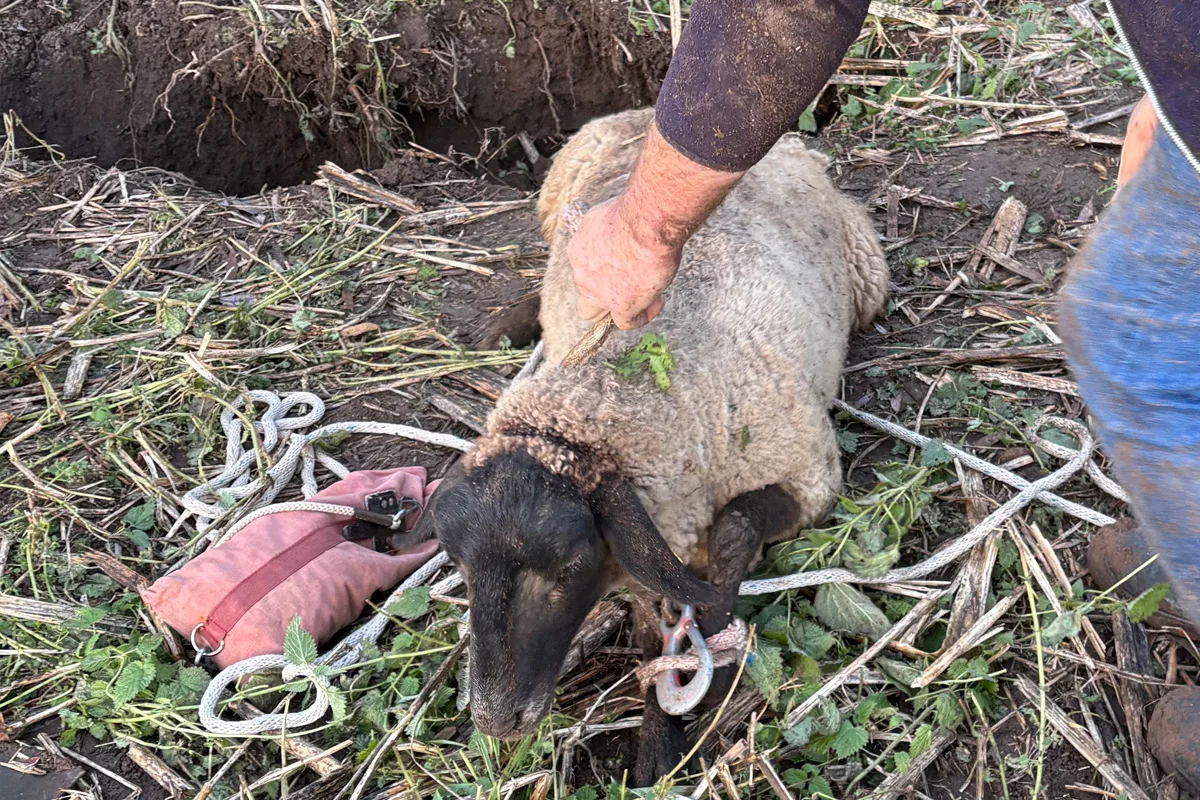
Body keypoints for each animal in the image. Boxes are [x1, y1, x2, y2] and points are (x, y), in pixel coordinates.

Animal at [414, 106, 889, 784]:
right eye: (458, 564)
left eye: (568, 567)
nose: (496, 721)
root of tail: (644, 108)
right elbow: (650, 627)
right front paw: (658, 740)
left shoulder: (810, 472)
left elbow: (734, 530)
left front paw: (710, 627)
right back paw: (504, 323)